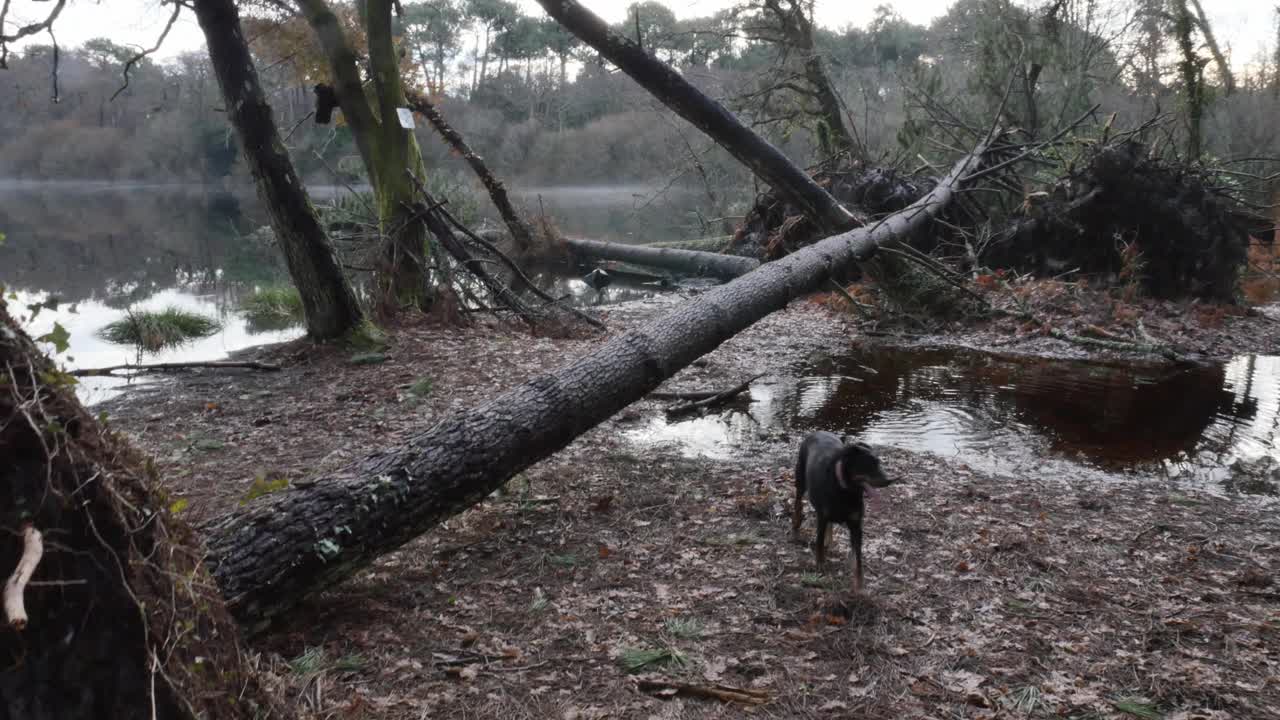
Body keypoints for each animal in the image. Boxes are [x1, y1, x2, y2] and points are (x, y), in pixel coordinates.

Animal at [788, 430, 890, 589]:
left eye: (879, 463)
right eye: (868, 464)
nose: (889, 480)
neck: (846, 489)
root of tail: (817, 432)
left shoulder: (856, 524)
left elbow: (858, 559)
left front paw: (859, 586)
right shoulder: (822, 517)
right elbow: (818, 544)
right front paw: (820, 565)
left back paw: (829, 540)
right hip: (800, 478)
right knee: (798, 501)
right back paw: (796, 522)